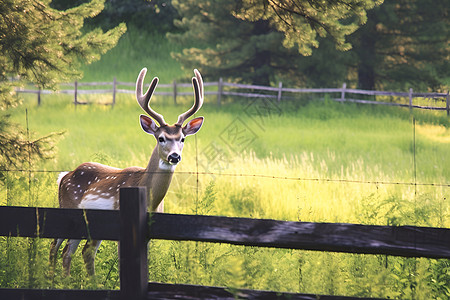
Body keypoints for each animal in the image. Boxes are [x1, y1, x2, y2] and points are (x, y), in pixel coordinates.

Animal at [49, 68, 204, 276]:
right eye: (161, 138)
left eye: (182, 139)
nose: (174, 156)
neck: (149, 199)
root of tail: (64, 176)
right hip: (67, 209)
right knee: (56, 246)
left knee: (75, 252)